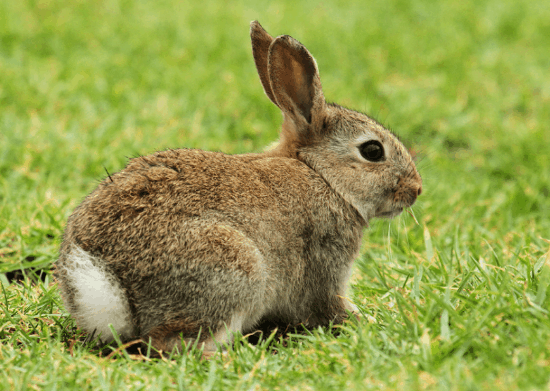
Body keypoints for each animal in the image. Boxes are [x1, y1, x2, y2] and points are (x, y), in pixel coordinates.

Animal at [55, 21, 422, 358]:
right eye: (373, 151)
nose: (416, 189)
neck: (323, 176)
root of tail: (110, 282)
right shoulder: (326, 261)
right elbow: (329, 306)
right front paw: (366, 321)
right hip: (236, 268)